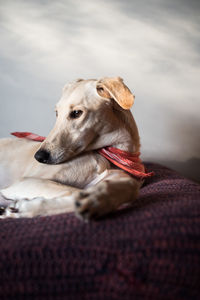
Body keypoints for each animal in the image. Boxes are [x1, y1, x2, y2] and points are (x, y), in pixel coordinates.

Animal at [0, 77, 147, 220]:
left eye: (76, 113)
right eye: (56, 113)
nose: (39, 157)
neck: (109, 156)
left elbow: (132, 187)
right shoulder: (23, 181)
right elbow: (74, 191)